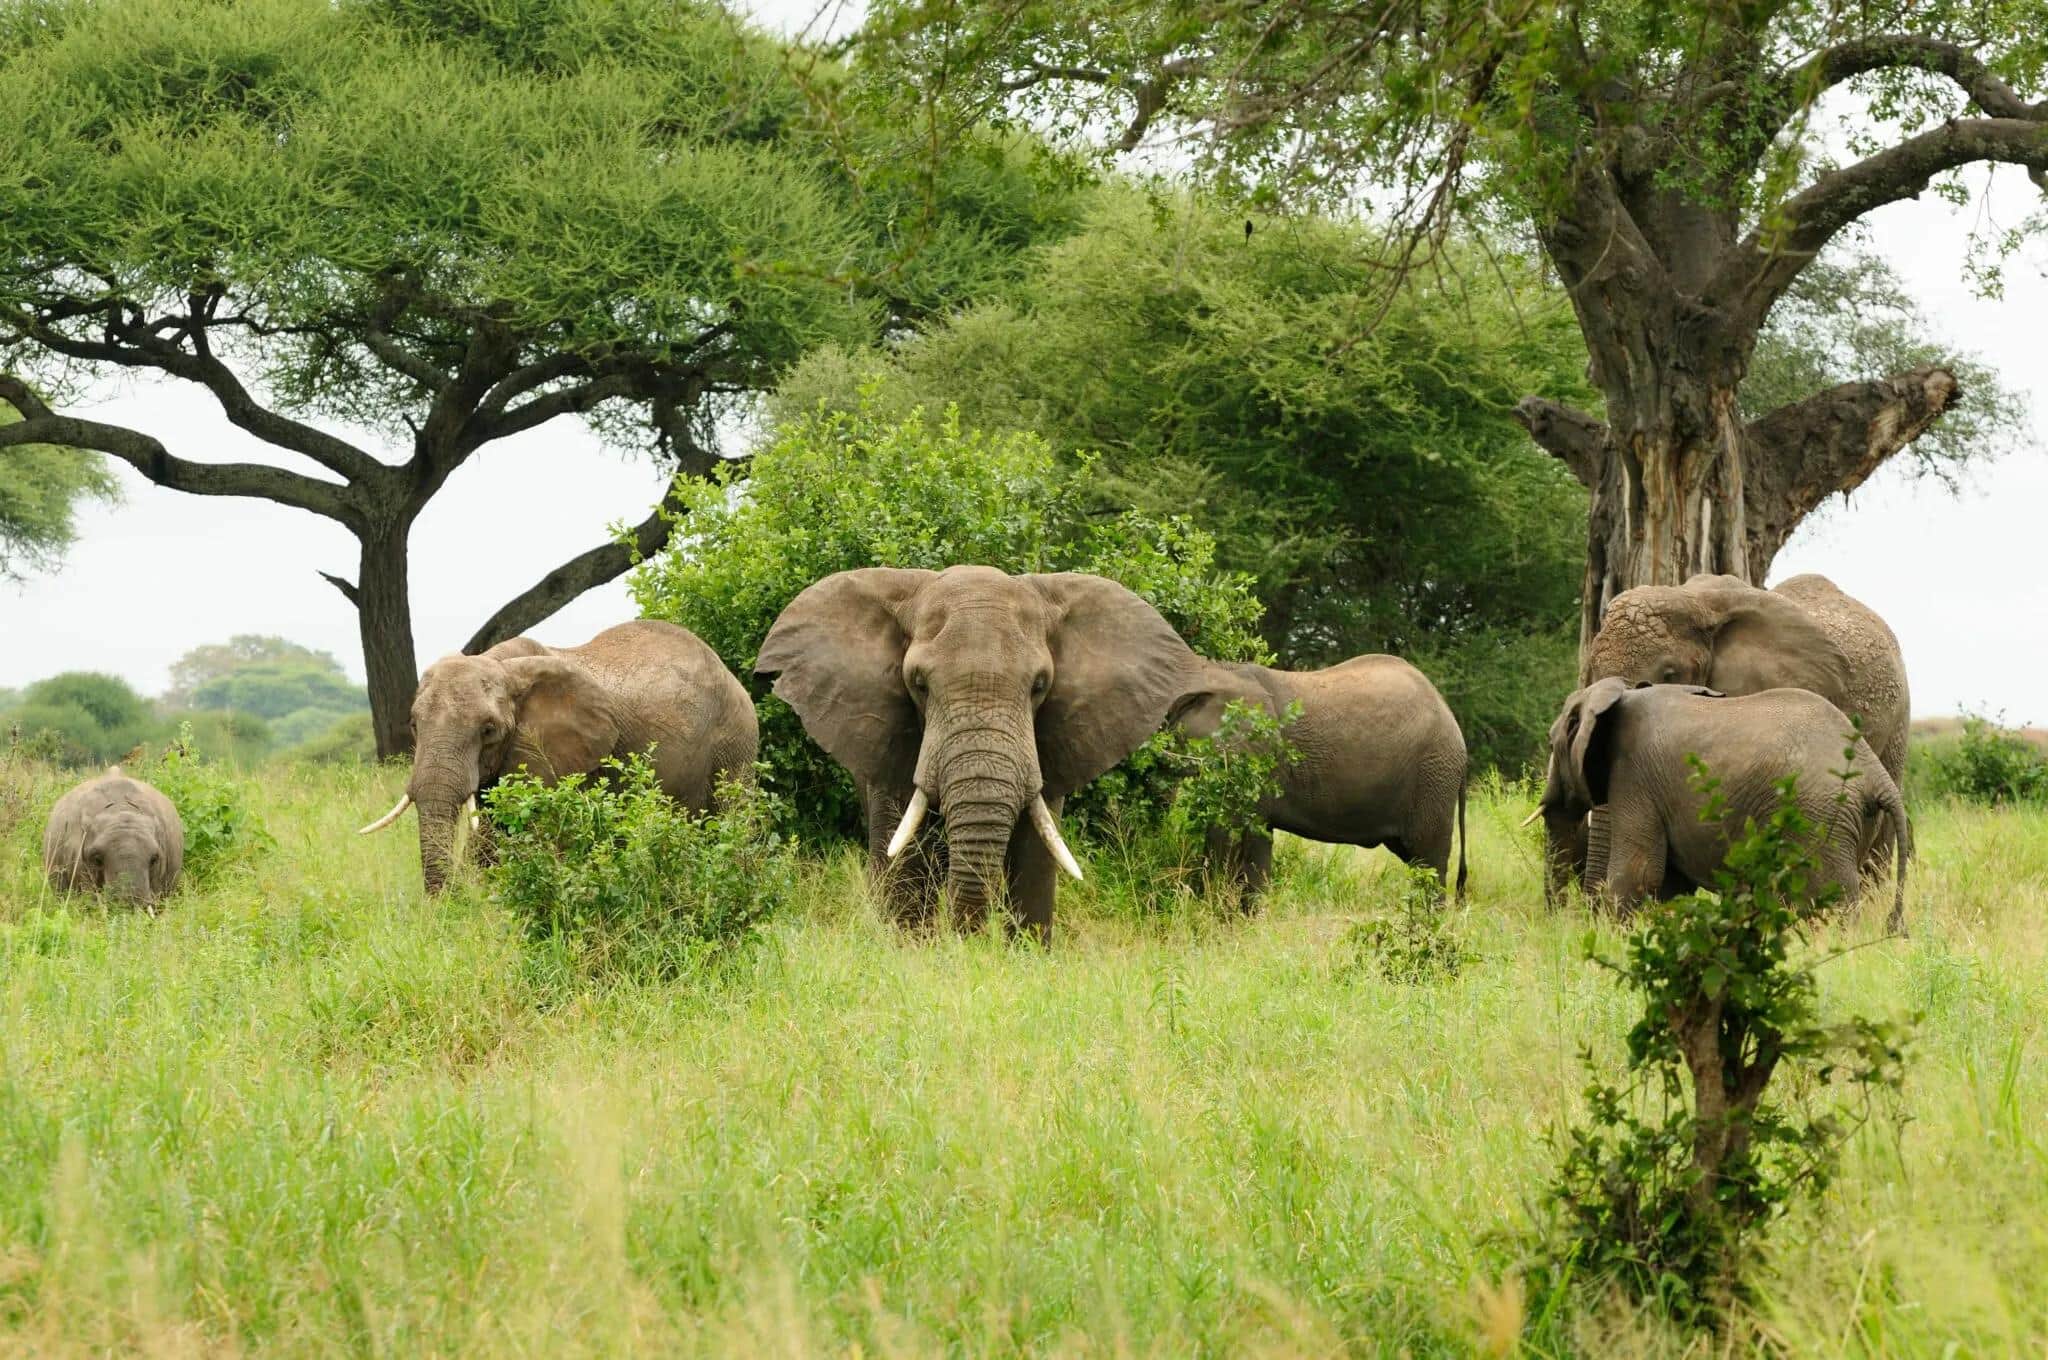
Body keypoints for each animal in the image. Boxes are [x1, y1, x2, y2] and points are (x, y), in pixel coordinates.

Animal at [757, 565, 1207, 940]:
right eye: (918, 684)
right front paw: (909, 953)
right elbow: (906, 860)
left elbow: (1035, 856)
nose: (966, 942)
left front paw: (1025, 955)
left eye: (1040, 685)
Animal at [1531, 680, 1911, 932]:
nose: (1558, 928)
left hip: (1820, 815)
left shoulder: (1634, 777)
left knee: (1830, 897)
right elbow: (1670, 883)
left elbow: (1639, 873)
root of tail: (1876, 773)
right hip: (1853, 818)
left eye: (1550, 744)